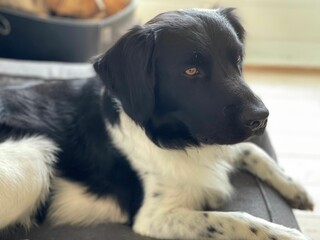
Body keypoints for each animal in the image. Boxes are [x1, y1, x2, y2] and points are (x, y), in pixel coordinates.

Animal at [0, 7, 314, 240]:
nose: (261, 117)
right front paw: (289, 233)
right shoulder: (152, 218)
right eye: (191, 71)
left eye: (237, 59)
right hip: (34, 158)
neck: (175, 138)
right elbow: (238, 218)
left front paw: (296, 188)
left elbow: (251, 150)